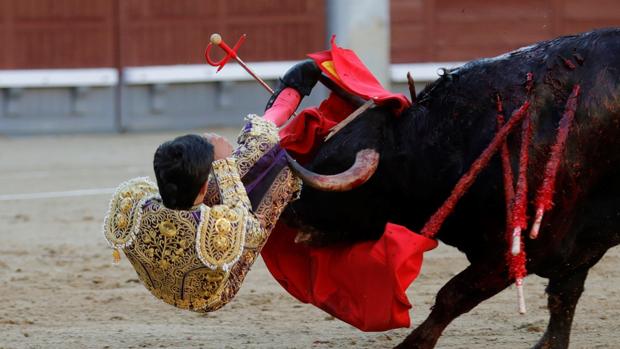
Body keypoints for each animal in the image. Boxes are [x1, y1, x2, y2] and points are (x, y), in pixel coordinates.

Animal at [282, 27, 620, 348]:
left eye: (331, 166)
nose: (289, 213)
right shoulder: (579, 247)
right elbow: (563, 301)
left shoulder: (523, 245)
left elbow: (454, 295)